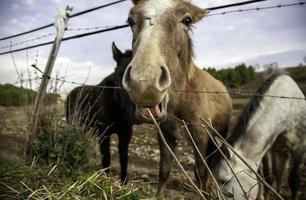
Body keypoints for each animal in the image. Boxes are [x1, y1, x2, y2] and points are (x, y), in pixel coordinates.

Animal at [65, 43, 134, 182]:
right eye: (119, 75)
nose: (130, 112)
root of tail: (70, 93)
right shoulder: (104, 134)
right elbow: (106, 160)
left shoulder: (126, 134)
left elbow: (124, 161)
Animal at [122, 0, 232, 194]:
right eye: (130, 20)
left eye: (186, 20)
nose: (144, 83)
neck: (183, 97)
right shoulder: (165, 133)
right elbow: (164, 171)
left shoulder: (200, 134)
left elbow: (201, 173)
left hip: (218, 136)